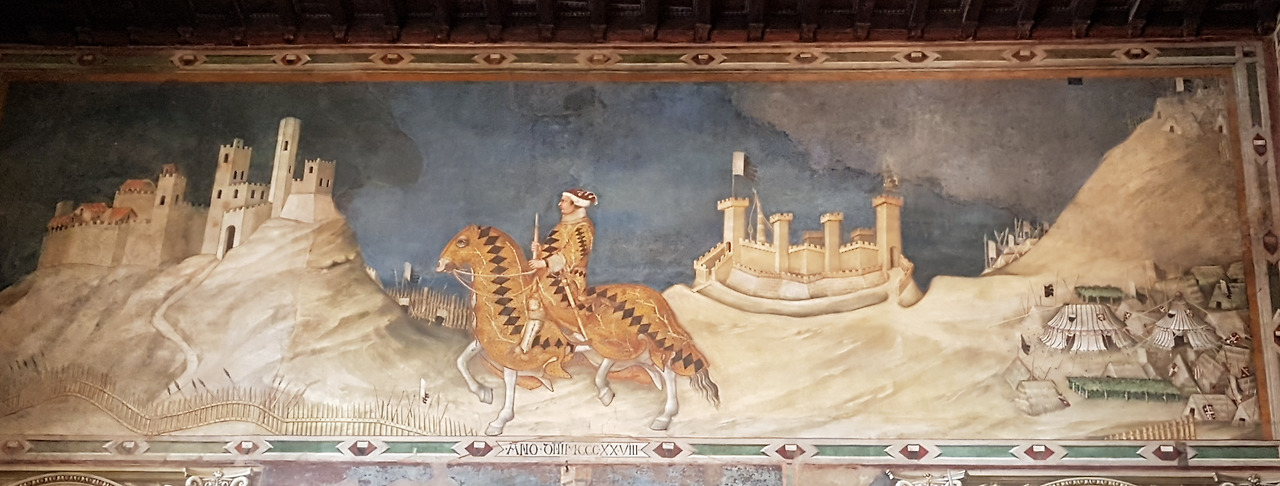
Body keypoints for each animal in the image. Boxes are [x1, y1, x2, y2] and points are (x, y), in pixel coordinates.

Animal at [435, 224, 719, 435]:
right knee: (656, 368)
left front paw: (499, 420)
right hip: (638, 348)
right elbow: (462, 361)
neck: (508, 298)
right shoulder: (484, 343)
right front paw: (483, 393)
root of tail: (655, 299)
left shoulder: (512, 353)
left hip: (635, 341)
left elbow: (509, 383)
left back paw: (656, 413)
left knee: (660, 367)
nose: (440, 264)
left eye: (462, 242)